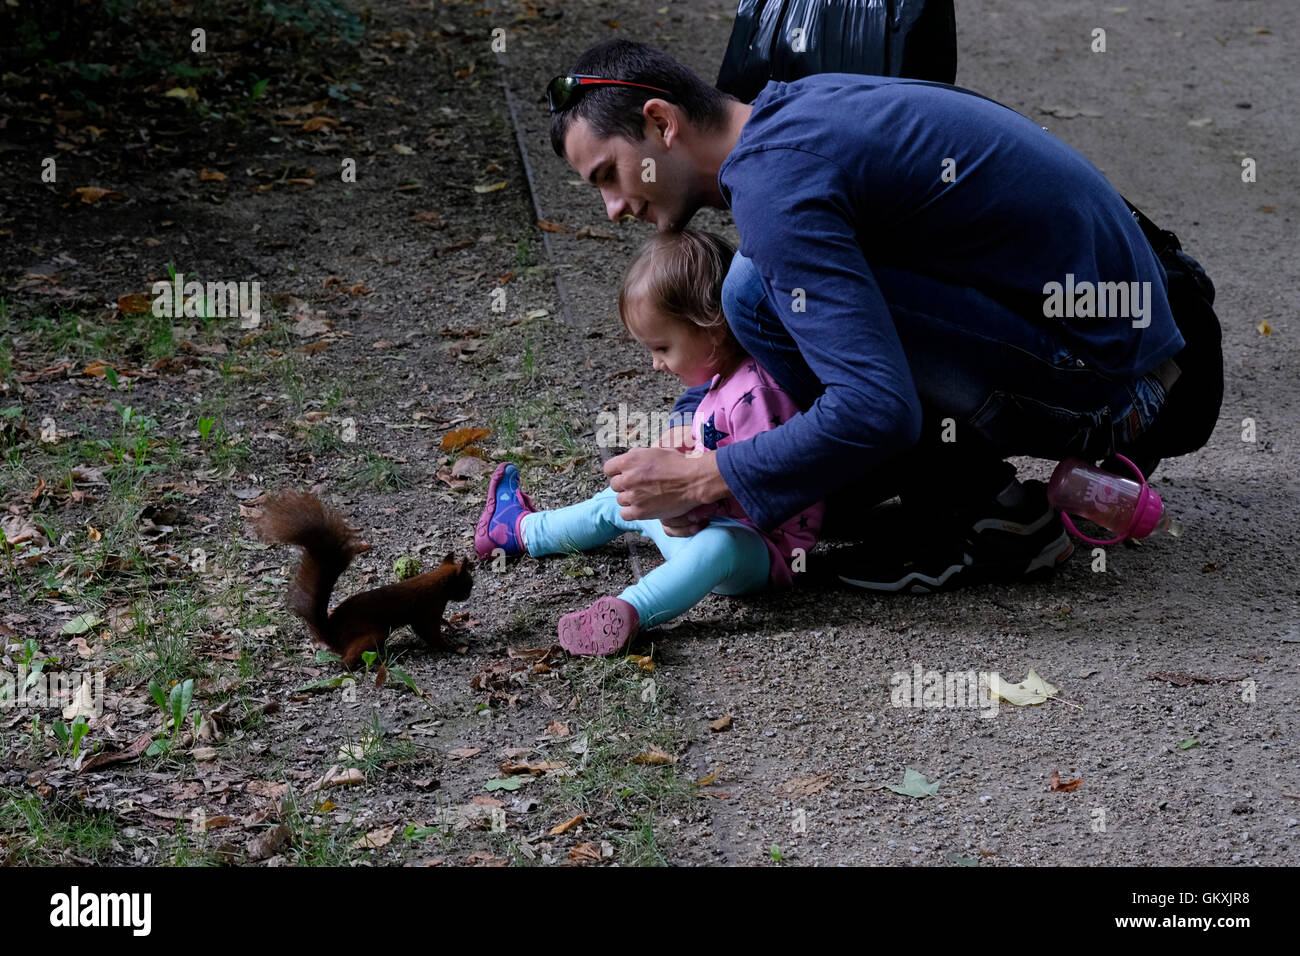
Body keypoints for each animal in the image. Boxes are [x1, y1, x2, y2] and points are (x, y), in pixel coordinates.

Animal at [249, 489, 473, 671]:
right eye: (468, 583)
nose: (469, 594)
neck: (438, 583)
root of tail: (333, 636)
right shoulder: (427, 610)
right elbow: (429, 633)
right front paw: (451, 646)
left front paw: (450, 625)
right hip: (373, 634)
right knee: (348, 660)